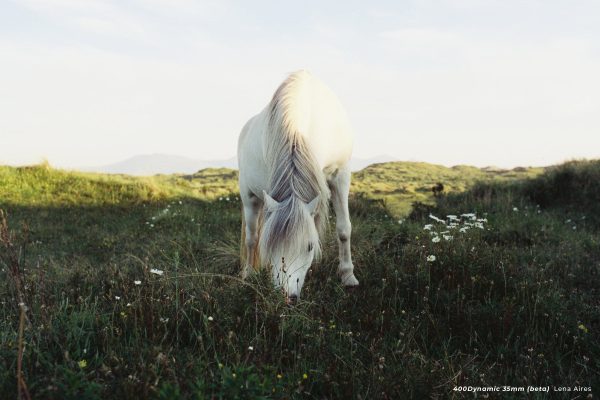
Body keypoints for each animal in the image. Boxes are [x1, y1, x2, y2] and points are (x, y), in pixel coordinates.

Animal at [237, 70, 358, 302]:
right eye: (272, 245)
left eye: (309, 246)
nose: (286, 296)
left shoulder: (340, 175)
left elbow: (344, 229)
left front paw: (348, 276)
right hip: (248, 197)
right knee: (251, 237)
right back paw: (248, 273)